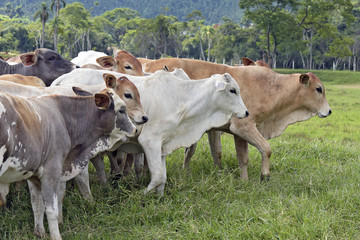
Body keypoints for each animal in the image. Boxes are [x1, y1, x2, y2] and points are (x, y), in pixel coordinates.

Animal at [0, 84, 136, 238]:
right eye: (121, 110)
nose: (135, 130)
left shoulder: (34, 176)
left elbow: (37, 205)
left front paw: (40, 233)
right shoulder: (51, 172)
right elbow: (51, 210)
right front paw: (56, 236)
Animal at [50, 66, 249, 194]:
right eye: (233, 90)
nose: (246, 112)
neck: (181, 99)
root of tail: (62, 80)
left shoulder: (162, 145)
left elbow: (163, 177)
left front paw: (159, 198)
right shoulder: (150, 141)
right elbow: (158, 176)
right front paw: (142, 195)